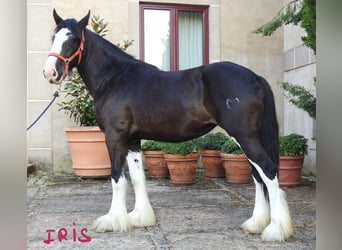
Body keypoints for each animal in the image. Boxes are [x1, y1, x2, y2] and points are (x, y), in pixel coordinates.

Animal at [42, 9, 292, 242]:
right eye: (53, 36)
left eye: (73, 39)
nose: (50, 72)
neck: (115, 79)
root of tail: (255, 77)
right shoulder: (132, 140)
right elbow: (137, 178)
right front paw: (140, 217)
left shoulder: (115, 137)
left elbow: (117, 178)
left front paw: (113, 221)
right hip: (246, 139)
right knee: (258, 175)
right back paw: (256, 224)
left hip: (245, 137)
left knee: (268, 171)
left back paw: (275, 230)